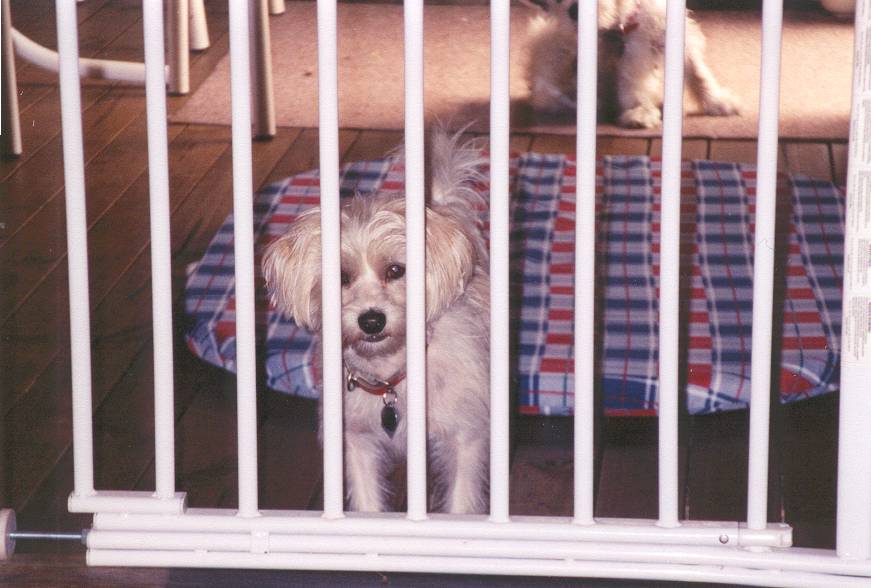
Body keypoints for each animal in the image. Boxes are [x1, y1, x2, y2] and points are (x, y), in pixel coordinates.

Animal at [263, 130, 490, 514]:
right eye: (340, 277)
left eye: (396, 270)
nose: (371, 321)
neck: (390, 379)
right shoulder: (355, 443)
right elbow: (367, 502)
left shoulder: (465, 441)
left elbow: (460, 502)